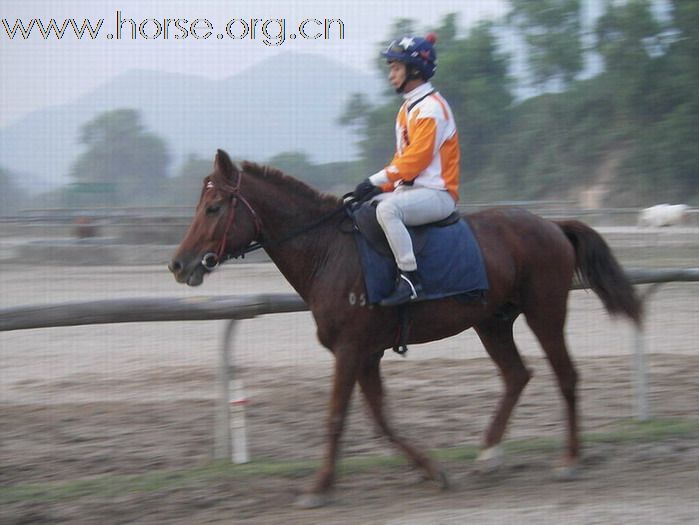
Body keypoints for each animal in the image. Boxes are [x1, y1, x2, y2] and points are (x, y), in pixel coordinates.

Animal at [168, 148, 640, 508]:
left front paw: (318, 487)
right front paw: (432, 470)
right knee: (516, 375)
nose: (179, 264)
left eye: (213, 207)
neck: (329, 252)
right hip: (492, 322)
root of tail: (552, 224)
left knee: (566, 375)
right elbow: (381, 419)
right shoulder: (366, 353)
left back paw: (570, 460)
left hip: (545, 312)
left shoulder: (351, 349)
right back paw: (489, 453)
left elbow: (337, 416)